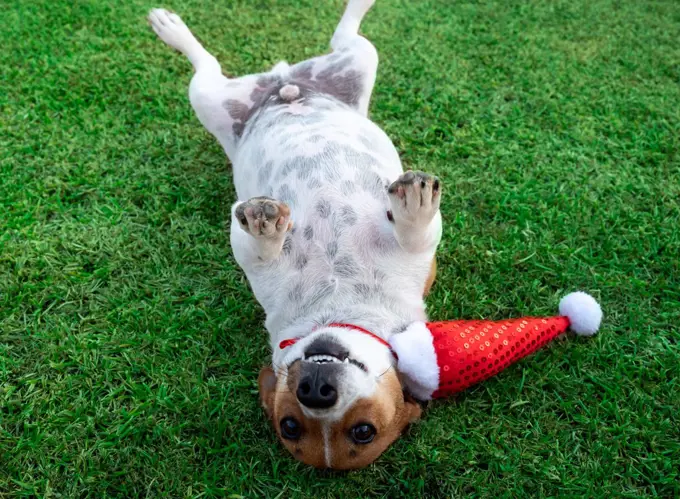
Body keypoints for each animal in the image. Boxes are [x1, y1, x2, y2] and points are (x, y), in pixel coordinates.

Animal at [149, 0, 444, 468]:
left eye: (363, 431)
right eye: (290, 425)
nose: (316, 391)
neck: (336, 306)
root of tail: (285, 82)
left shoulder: (416, 261)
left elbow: (416, 233)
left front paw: (414, 205)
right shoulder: (259, 265)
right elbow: (261, 245)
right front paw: (266, 222)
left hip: (336, 66)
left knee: (335, 37)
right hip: (230, 95)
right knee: (208, 58)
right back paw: (170, 26)